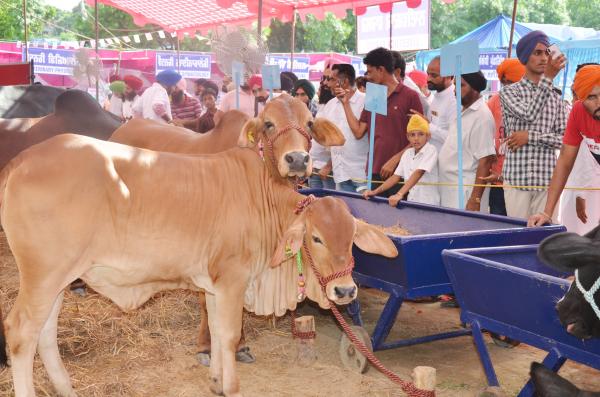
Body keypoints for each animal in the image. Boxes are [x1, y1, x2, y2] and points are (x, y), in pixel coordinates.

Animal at [0, 134, 398, 396]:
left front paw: (217, 381)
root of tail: (19, 162)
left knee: (45, 334)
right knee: (21, 332)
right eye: (316, 238)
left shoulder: (215, 285)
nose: (344, 290)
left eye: (351, 238)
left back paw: (66, 387)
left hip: (57, 281)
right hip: (43, 276)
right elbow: (231, 335)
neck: (263, 203)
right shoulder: (234, 280)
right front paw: (232, 386)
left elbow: (219, 333)